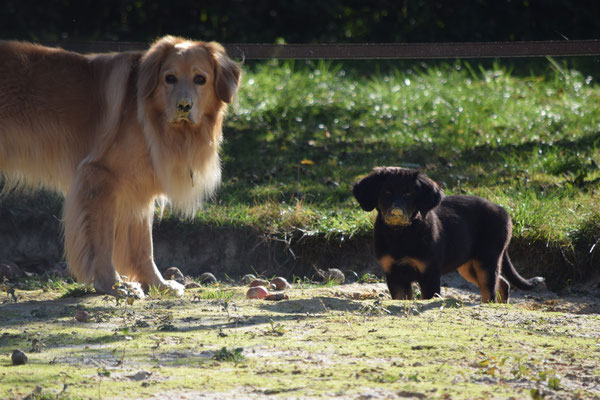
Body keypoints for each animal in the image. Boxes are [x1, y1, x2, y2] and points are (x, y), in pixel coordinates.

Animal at [2, 35, 241, 296]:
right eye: (169, 78)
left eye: (200, 79)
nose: (183, 106)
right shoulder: (98, 177)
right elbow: (103, 241)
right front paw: (113, 284)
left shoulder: (137, 189)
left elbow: (143, 246)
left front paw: (158, 284)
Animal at [352, 166, 544, 304]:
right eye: (386, 192)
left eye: (409, 194)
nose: (396, 213)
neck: (401, 234)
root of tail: (503, 212)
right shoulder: (394, 274)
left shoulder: (429, 273)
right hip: (468, 265)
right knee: (502, 283)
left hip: (487, 259)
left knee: (489, 290)